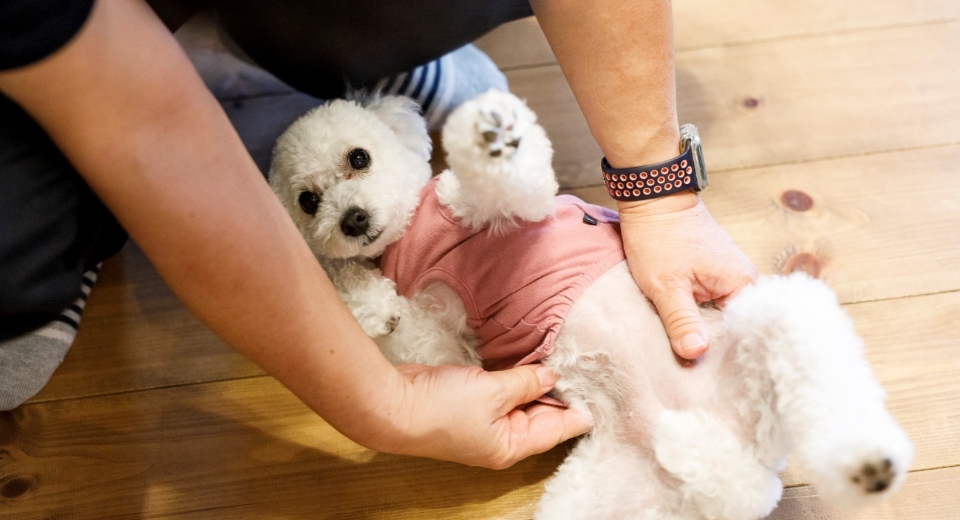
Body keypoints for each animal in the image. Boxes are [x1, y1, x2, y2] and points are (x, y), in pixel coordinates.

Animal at [266, 91, 912, 516]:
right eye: (306, 200)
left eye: (359, 157)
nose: (352, 221)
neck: (410, 240)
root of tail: (739, 446)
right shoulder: (437, 339)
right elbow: (389, 316)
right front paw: (368, 300)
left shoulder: (506, 209)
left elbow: (501, 185)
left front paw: (491, 135)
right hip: (605, 496)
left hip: (786, 315)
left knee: (831, 405)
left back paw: (866, 463)